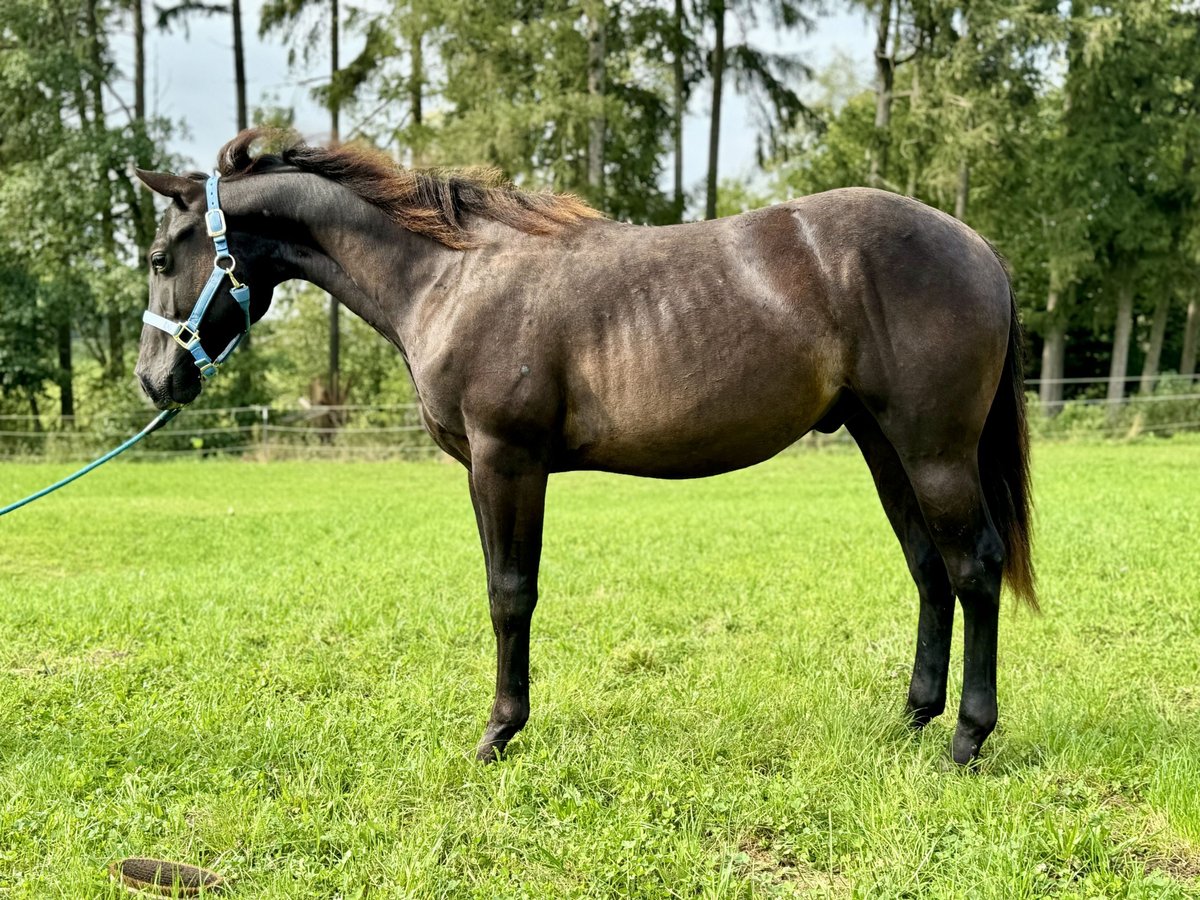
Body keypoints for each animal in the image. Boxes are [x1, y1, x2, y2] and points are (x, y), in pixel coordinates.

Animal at [133, 132, 1032, 768]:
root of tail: (978, 247)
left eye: (157, 255)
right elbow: (503, 591)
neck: (448, 277)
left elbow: (510, 595)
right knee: (929, 569)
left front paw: (500, 732)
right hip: (885, 446)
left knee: (974, 567)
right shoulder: (488, 469)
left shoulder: (507, 461)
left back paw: (967, 738)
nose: (153, 379)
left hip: (934, 450)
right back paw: (913, 717)